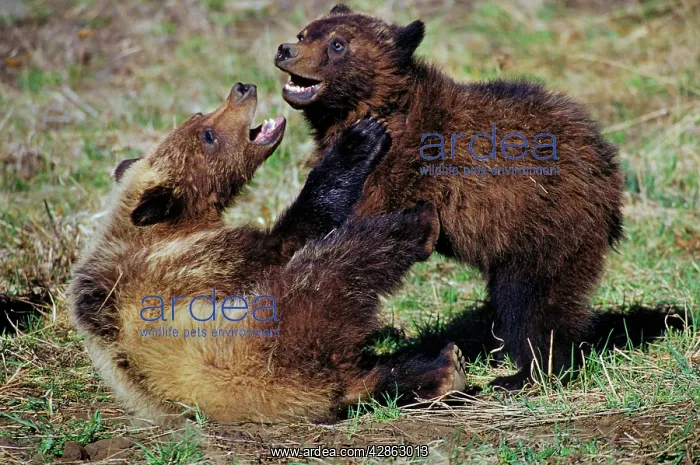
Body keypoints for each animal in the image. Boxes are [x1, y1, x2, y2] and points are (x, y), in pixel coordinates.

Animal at [68, 83, 468, 424]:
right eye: (207, 135)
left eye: (197, 116)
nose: (242, 88)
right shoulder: (193, 264)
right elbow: (287, 238)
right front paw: (358, 139)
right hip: (273, 338)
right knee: (338, 263)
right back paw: (420, 227)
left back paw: (443, 368)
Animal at [274, 5, 624, 390]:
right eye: (305, 33)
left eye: (338, 44)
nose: (286, 50)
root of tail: (606, 163)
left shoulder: (399, 171)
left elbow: (359, 235)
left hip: (545, 220)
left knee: (532, 298)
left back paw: (527, 373)